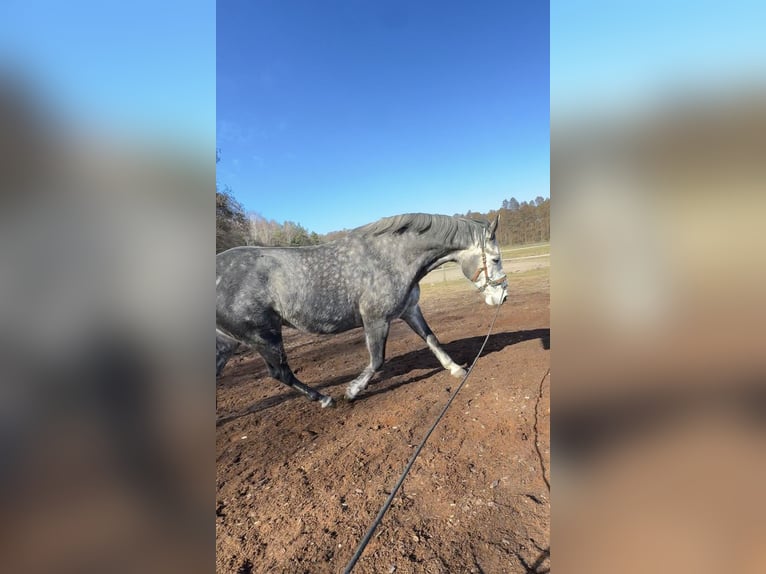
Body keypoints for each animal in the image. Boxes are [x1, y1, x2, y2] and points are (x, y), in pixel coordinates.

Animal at [216, 213, 508, 407]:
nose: (503, 296)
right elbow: (377, 360)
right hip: (264, 336)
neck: (391, 258)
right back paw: (324, 399)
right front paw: (353, 390)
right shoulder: (375, 319)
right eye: (495, 259)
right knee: (281, 373)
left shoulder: (409, 310)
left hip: (229, 342)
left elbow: (432, 339)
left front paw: (456, 369)